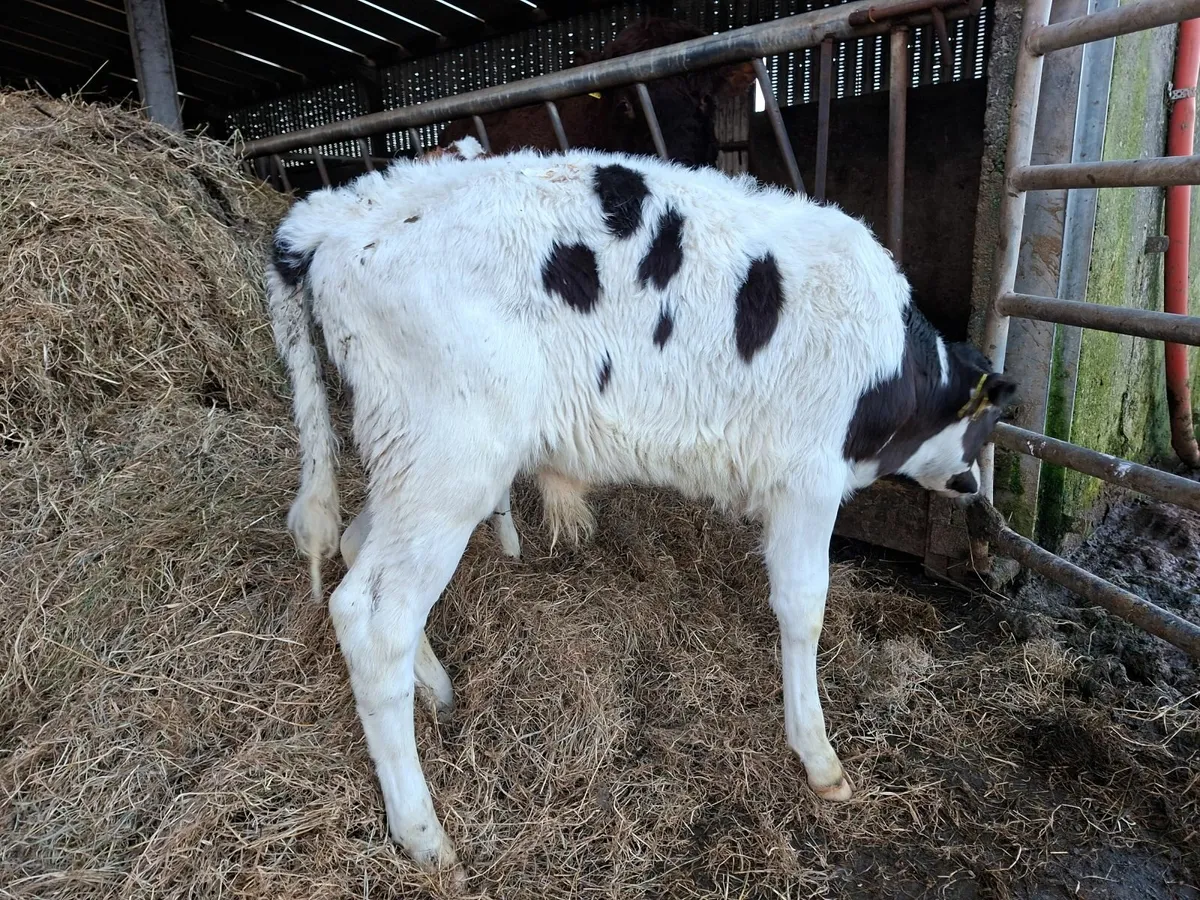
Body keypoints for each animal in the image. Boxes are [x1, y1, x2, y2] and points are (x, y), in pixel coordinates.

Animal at [265, 146, 1017, 875]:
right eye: (988, 428)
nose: (974, 490)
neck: (888, 359)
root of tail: (338, 211)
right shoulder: (807, 477)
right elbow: (803, 607)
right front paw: (818, 756)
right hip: (451, 459)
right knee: (371, 616)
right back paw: (423, 834)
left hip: (409, 462)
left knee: (357, 549)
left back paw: (437, 689)